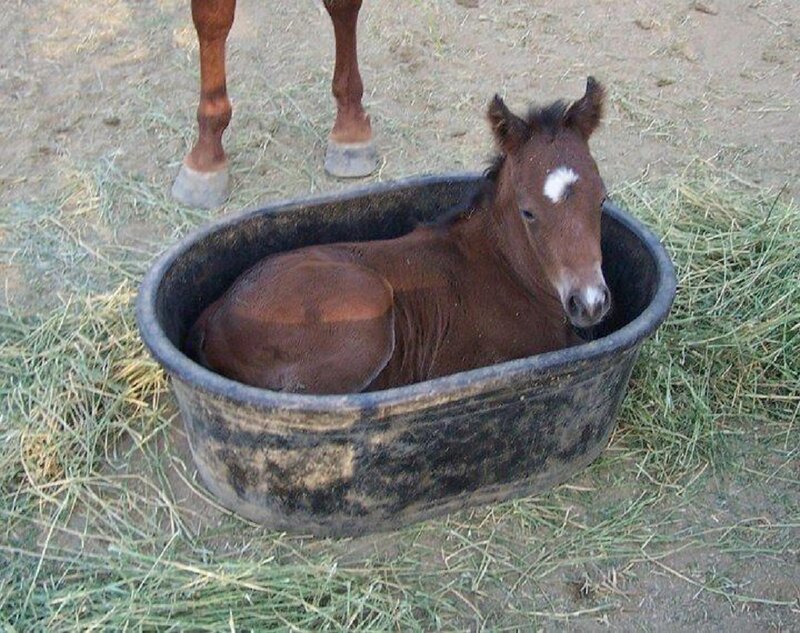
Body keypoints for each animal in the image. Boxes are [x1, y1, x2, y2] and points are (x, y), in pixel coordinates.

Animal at [187, 78, 611, 394]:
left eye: (603, 198)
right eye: (528, 211)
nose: (589, 302)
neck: (508, 272)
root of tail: (215, 312)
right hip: (364, 309)